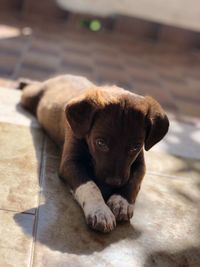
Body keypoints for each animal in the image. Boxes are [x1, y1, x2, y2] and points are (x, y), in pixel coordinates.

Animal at [21, 74, 170, 233]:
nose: (113, 183)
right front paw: (100, 211)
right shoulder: (70, 163)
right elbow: (90, 185)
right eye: (100, 143)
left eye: (135, 147)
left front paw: (122, 202)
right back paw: (23, 82)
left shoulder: (140, 164)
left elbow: (134, 181)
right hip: (29, 96)